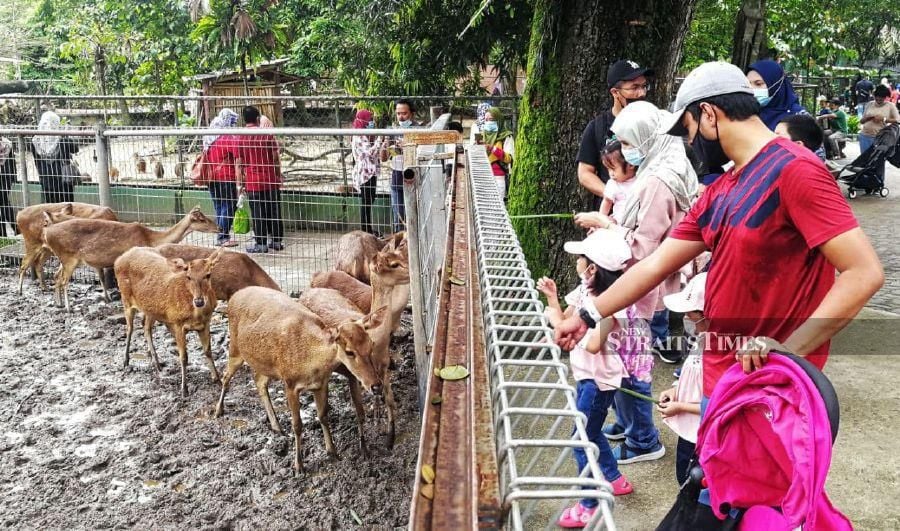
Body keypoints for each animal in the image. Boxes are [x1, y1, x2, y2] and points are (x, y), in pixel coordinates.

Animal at [41, 205, 219, 312]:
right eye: (201, 219)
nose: (219, 227)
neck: (151, 239)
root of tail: (47, 233)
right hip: (69, 257)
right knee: (63, 280)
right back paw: (68, 307)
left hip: (66, 259)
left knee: (56, 276)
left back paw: (58, 303)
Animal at [115, 247, 224, 396]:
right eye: (188, 276)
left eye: (208, 275)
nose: (199, 301)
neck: (196, 314)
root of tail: (119, 258)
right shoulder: (177, 323)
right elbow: (184, 357)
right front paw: (184, 389)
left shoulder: (206, 323)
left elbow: (208, 351)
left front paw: (217, 379)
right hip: (125, 298)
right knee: (130, 329)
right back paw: (126, 361)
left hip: (151, 309)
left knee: (146, 328)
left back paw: (157, 363)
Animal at [218, 286, 386, 474]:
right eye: (349, 351)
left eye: (371, 345)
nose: (376, 385)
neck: (310, 365)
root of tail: (234, 296)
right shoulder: (289, 383)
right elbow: (297, 425)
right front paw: (299, 465)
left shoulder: (321, 384)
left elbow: (323, 416)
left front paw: (333, 452)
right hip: (235, 348)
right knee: (225, 376)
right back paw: (218, 411)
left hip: (265, 363)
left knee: (259, 381)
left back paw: (276, 426)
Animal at [300, 247, 410, 446]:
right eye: (393, 264)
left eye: (401, 255)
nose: (412, 270)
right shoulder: (358, 374)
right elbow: (362, 408)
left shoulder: (383, 368)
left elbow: (390, 399)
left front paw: (390, 438)